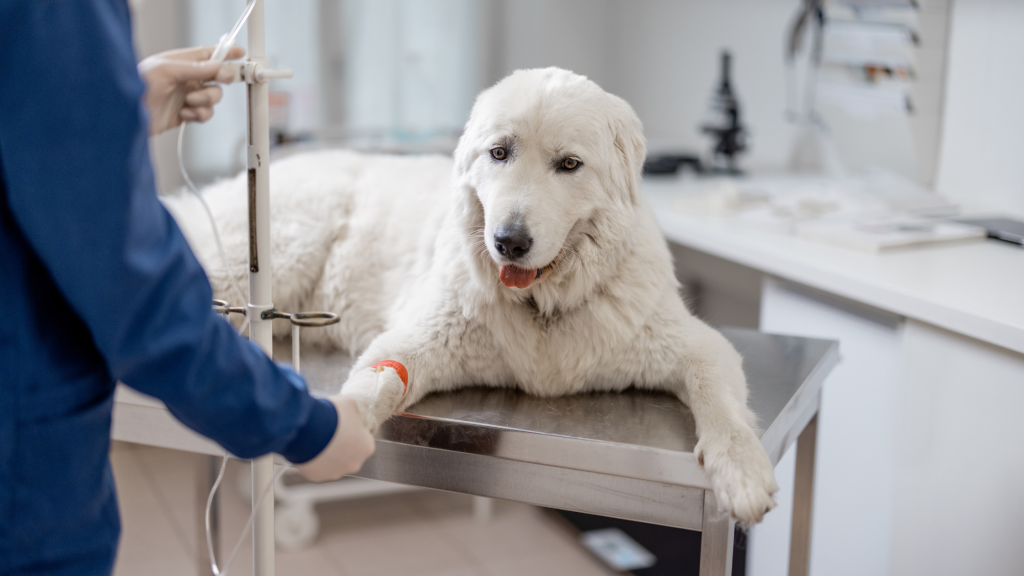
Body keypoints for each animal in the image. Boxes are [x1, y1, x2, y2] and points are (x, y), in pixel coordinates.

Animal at [167, 68, 774, 524]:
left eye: (569, 164)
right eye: (499, 153)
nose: (508, 242)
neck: (543, 308)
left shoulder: (696, 346)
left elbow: (720, 402)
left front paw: (741, 472)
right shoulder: (413, 340)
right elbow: (374, 383)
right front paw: (341, 430)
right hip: (274, 253)